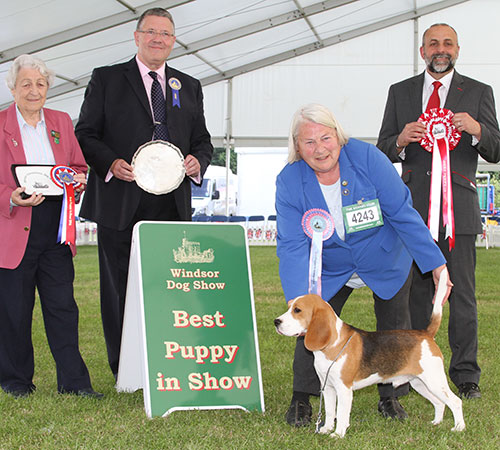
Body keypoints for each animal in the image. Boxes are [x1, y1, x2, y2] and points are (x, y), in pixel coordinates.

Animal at [274, 270, 464, 436]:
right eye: (289, 307)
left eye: (297, 310)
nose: (276, 322)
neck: (331, 345)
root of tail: (426, 333)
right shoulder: (327, 388)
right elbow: (329, 412)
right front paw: (326, 429)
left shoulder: (344, 389)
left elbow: (341, 414)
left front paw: (338, 434)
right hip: (420, 383)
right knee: (439, 403)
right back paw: (436, 422)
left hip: (434, 380)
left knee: (455, 401)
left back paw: (459, 428)